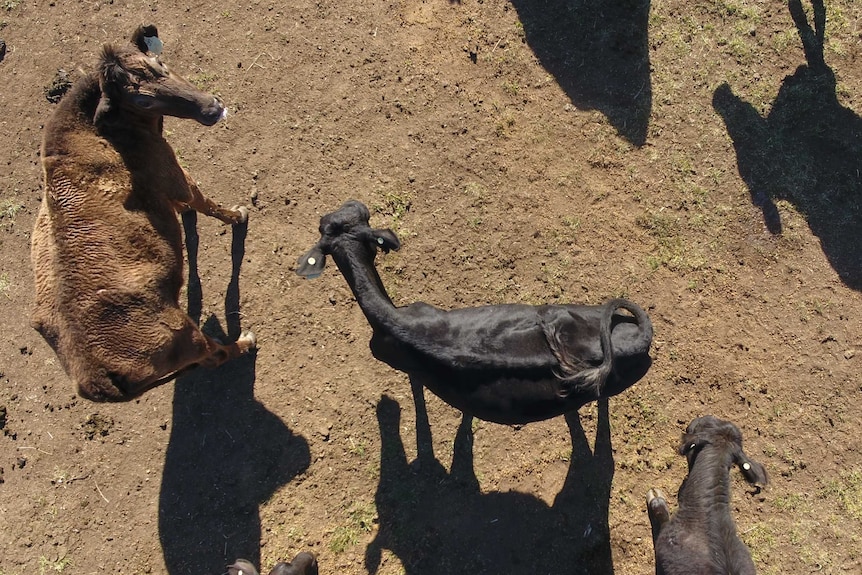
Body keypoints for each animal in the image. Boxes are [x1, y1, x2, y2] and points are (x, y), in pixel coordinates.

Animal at [33, 25, 256, 400]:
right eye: (142, 100)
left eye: (159, 64)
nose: (212, 108)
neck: (101, 130)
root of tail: (94, 378)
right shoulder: (175, 175)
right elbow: (204, 202)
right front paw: (238, 214)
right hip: (188, 336)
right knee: (216, 354)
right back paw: (245, 341)